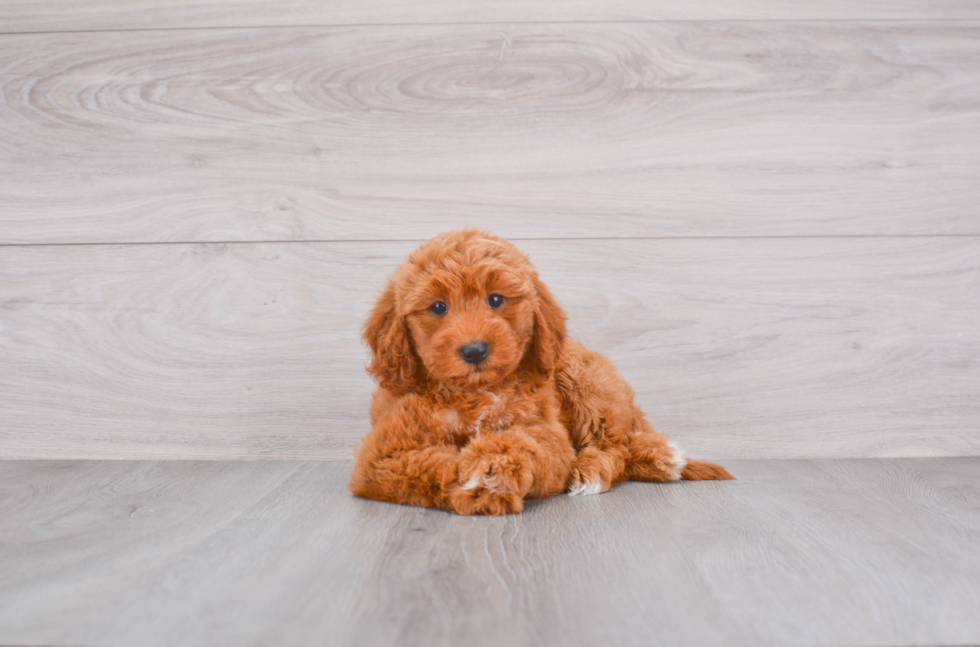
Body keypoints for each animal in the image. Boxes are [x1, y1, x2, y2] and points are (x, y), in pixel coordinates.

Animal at [348, 229, 732, 516]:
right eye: (438, 307)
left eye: (496, 300)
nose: (474, 350)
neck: (474, 393)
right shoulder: (382, 456)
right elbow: (425, 464)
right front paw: (476, 481)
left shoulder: (548, 434)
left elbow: (524, 442)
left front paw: (492, 467)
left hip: (582, 379)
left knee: (615, 446)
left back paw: (596, 469)